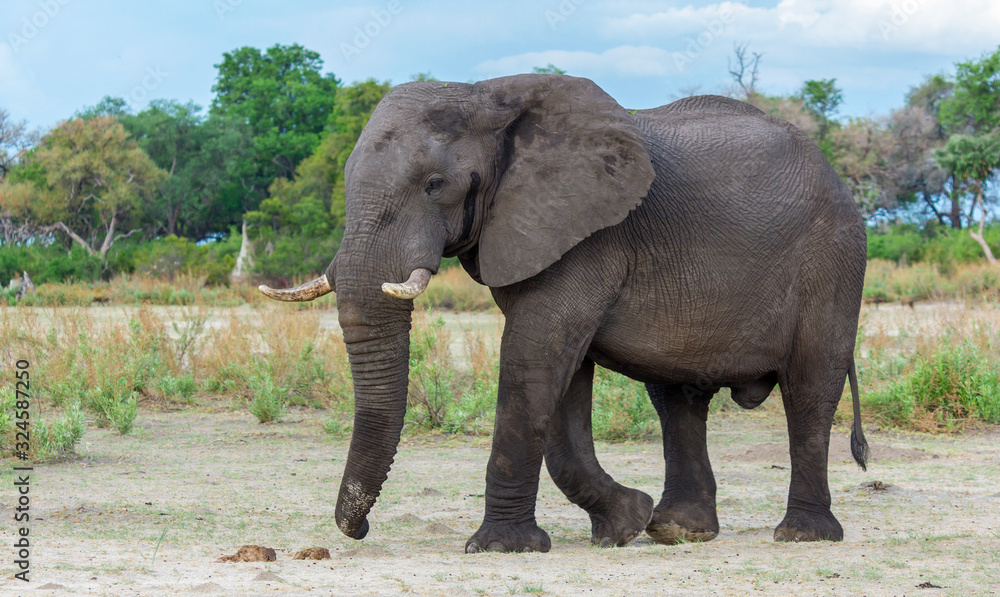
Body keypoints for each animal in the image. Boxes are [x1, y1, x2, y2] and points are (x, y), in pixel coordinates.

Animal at [260, 73, 870, 553]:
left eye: (435, 185)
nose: (359, 531)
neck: (486, 95)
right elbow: (561, 374)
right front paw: (624, 523)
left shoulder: (588, 234)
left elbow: (534, 356)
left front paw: (499, 547)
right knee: (677, 398)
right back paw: (675, 531)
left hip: (834, 258)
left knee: (810, 389)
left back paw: (802, 536)